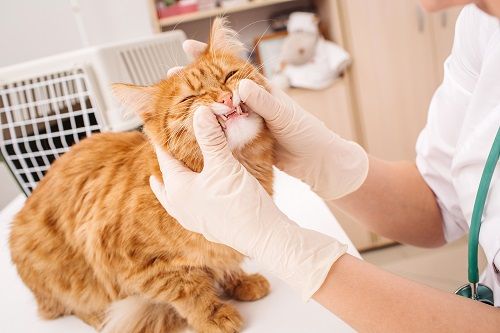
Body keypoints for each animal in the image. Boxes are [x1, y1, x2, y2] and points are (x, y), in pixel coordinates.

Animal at [8, 18, 274, 332]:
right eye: (190, 98)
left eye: (229, 76)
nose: (226, 96)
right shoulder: (137, 264)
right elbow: (189, 291)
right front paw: (213, 315)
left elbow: (225, 263)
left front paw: (240, 281)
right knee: (73, 307)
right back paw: (100, 318)